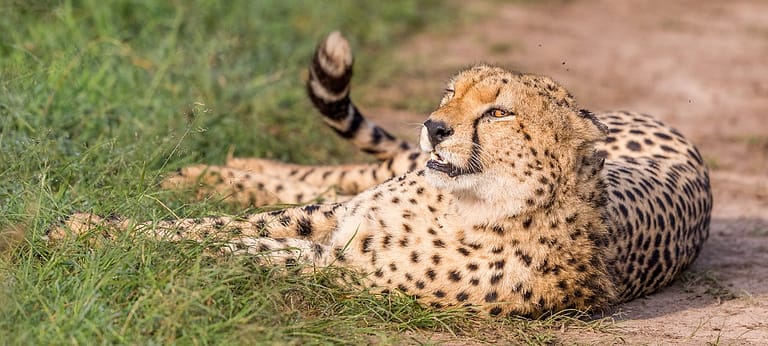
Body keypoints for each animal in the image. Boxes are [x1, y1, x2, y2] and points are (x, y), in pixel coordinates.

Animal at [52, 31, 712, 316]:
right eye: (451, 93)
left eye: (499, 112)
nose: (434, 127)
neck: (467, 207)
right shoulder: (334, 219)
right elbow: (214, 230)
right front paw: (95, 228)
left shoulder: (340, 264)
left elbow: (231, 250)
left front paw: (114, 249)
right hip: (389, 170)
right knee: (341, 171)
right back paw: (223, 171)